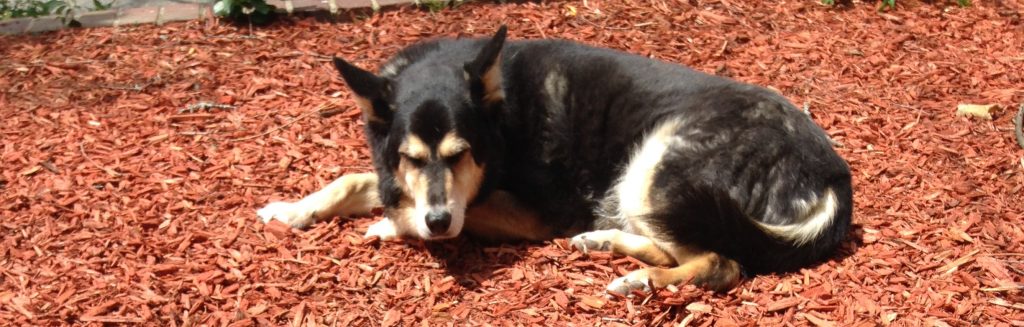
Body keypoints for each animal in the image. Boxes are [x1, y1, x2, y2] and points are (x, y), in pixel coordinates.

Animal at [258, 26, 856, 295]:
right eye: (410, 156)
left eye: (462, 154)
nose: (436, 221)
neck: (501, 114)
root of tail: (833, 174)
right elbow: (352, 179)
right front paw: (291, 209)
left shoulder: (533, 210)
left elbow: (455, 212)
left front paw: (392, 224)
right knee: (675, 244)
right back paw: (606, 244)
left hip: (658, 168)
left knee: (722, 262)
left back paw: (640, 280)